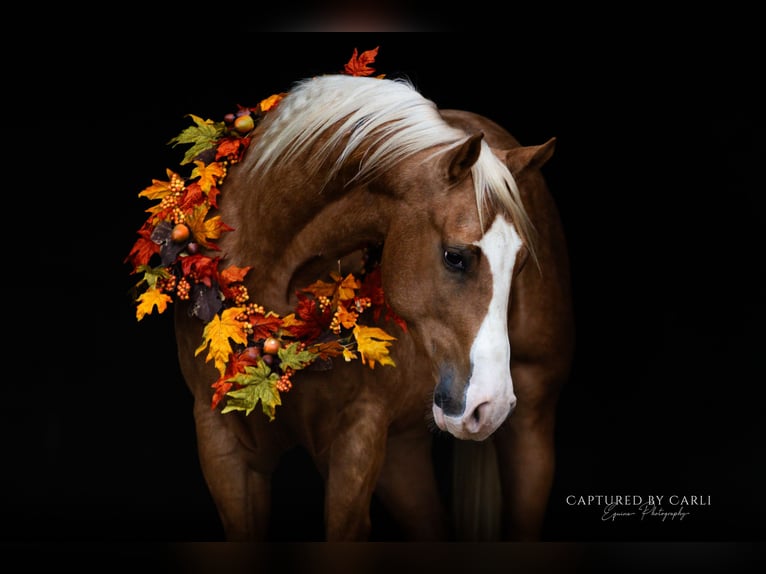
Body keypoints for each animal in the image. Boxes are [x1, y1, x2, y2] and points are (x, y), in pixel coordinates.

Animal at [136, 71, 573, 541]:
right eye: (455, 257)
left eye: (522, 263)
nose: (489, 405)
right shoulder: (223, 447)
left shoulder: (356, 442)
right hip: (403, 455)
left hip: (529, 430)